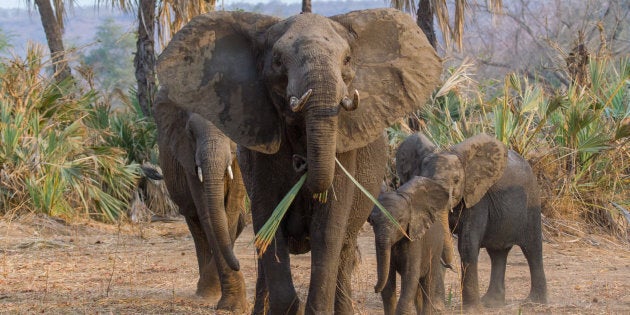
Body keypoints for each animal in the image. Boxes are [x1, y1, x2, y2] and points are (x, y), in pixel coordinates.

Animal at [153, 99, 249, 314]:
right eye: (190, 132)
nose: (239, 264)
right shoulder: (188, 157)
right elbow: (207, 212)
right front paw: (231, 305)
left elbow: (230, 211)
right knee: (196, 224)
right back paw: (204, 290)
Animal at [370, 177, 454, 314]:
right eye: (372, 221)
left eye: (400, 221)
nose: (374, 288)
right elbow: (388, 281)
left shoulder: (414, 240)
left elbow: (409, 276)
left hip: (437, 247)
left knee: (428, 283)